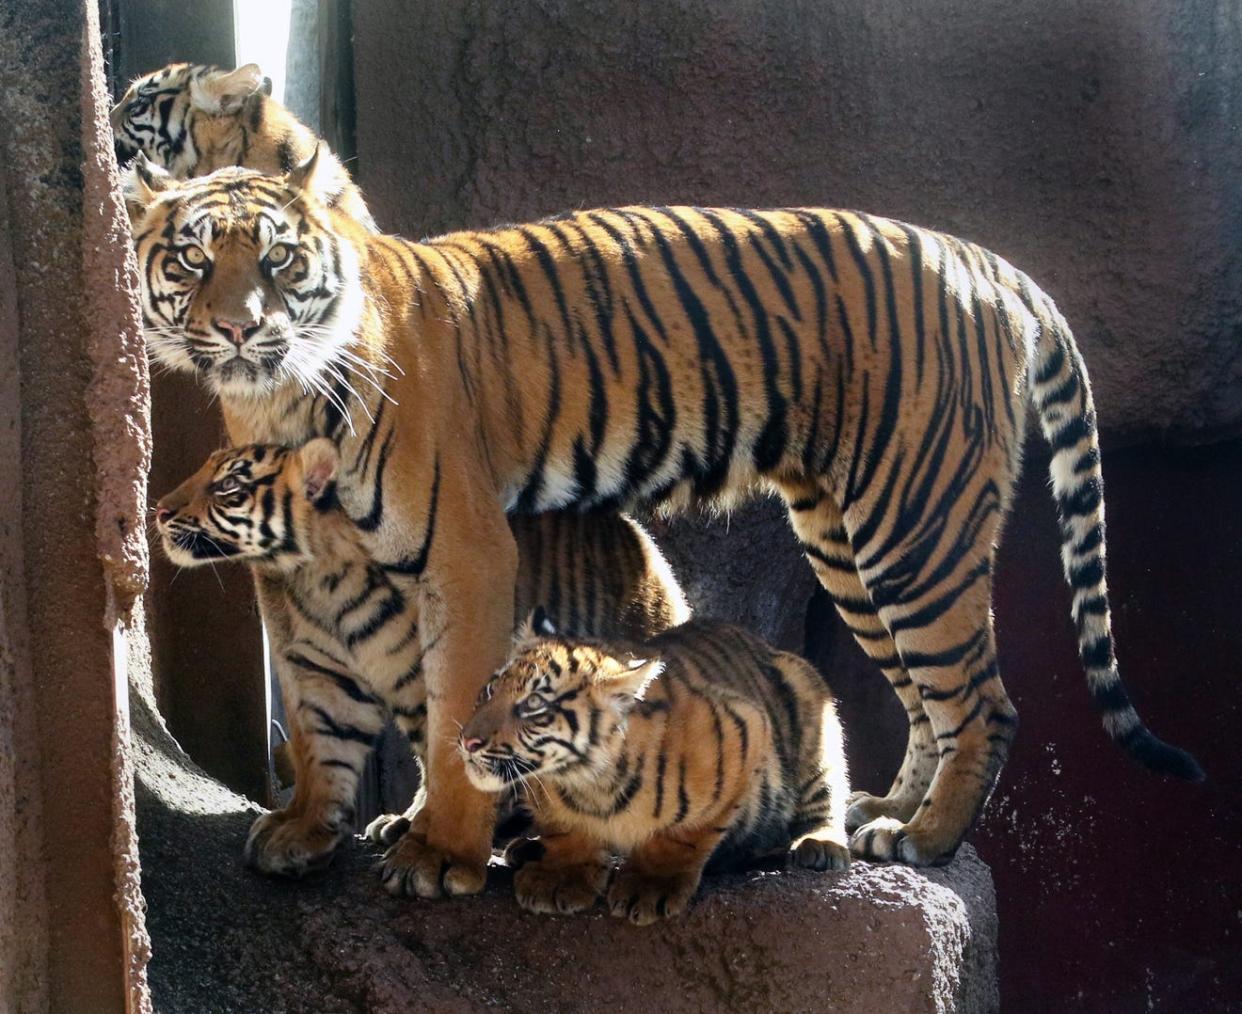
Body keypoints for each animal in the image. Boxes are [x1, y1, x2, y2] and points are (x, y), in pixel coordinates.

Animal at [462, 613, 849, 924]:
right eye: (490, 690)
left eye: (533, 704)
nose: (468, 741)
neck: (587, 781)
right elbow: (566, 830)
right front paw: (560, 877)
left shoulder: (746, 728)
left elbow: (684, 835)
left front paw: (649, 888)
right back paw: (526, 848)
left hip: (811, 711)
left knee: (824, 802)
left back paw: (820, 845)